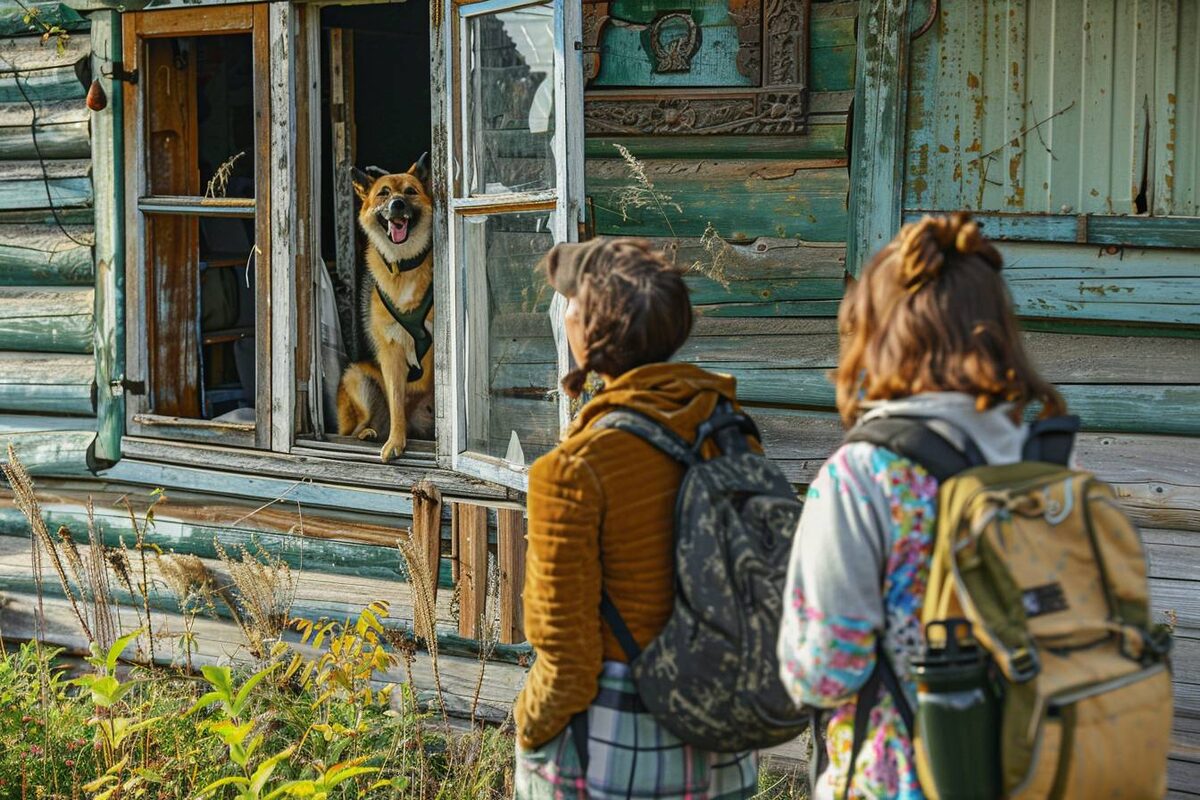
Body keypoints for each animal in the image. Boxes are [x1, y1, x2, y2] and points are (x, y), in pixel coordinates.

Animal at [336, 154, 434, 462]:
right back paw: (369, 432)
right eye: (384, 193)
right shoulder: (390, 352)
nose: (397, 205)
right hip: (357, 376)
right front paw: (395, 442)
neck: (402, 267)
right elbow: (396, 403)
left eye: (410, 192)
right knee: (357, 429)